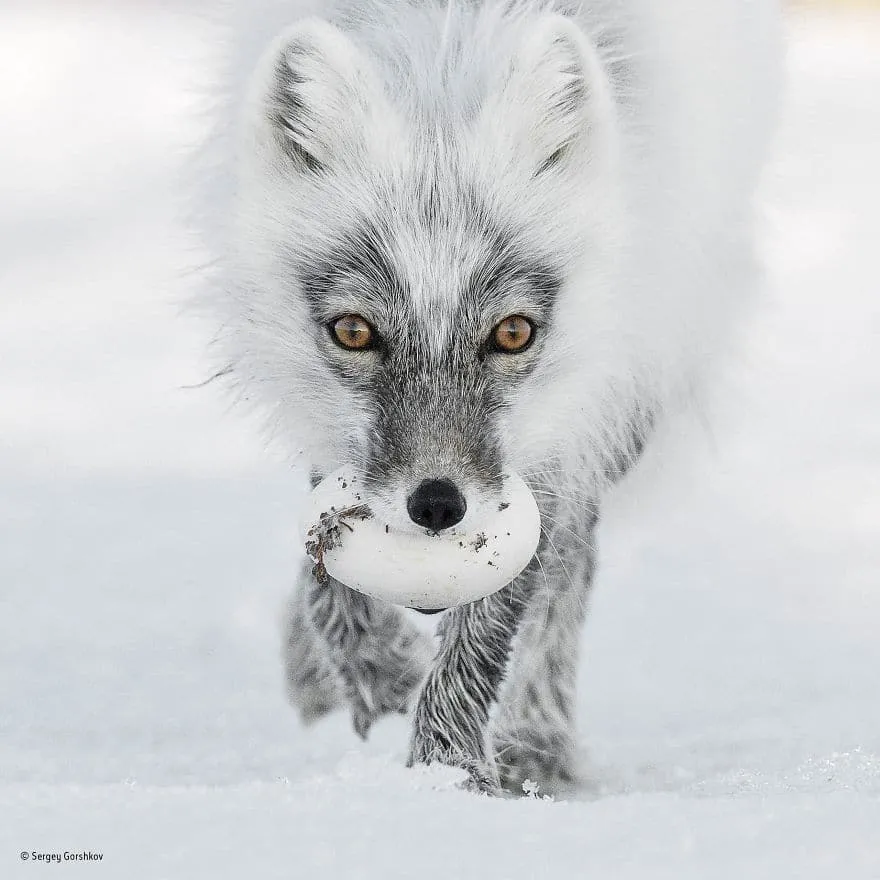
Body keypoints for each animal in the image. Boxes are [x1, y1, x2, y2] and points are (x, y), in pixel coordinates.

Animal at [198, 0, 776, 796]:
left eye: (512, 332)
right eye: (354, 331)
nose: (438, 505)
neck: (443, 57)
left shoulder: (561, 433)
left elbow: (496, 621)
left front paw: (448, 778)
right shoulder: (328, 425)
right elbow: (328, 570)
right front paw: (378, 672)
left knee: (570, 569)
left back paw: (537, 743)